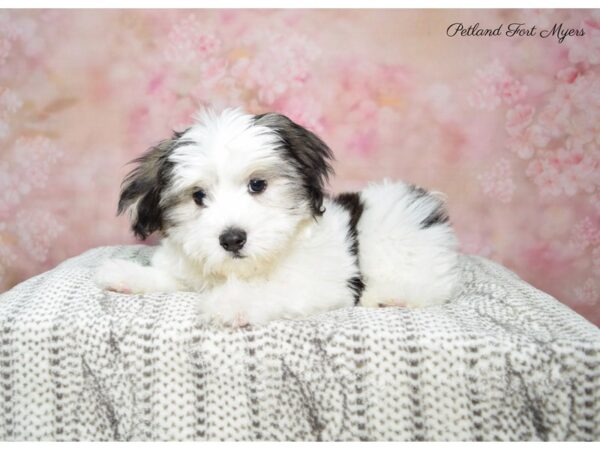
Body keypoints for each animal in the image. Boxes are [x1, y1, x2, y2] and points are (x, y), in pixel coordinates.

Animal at [96, 109, 460, 326]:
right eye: (198, 196)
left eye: (257, 185)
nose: (232, 239)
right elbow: (171, 279)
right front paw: (126, 275)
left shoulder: (317, 284)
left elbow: (273, 291)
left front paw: (232, 304)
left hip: (393, 230)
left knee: (431, 284)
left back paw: (392, 296)